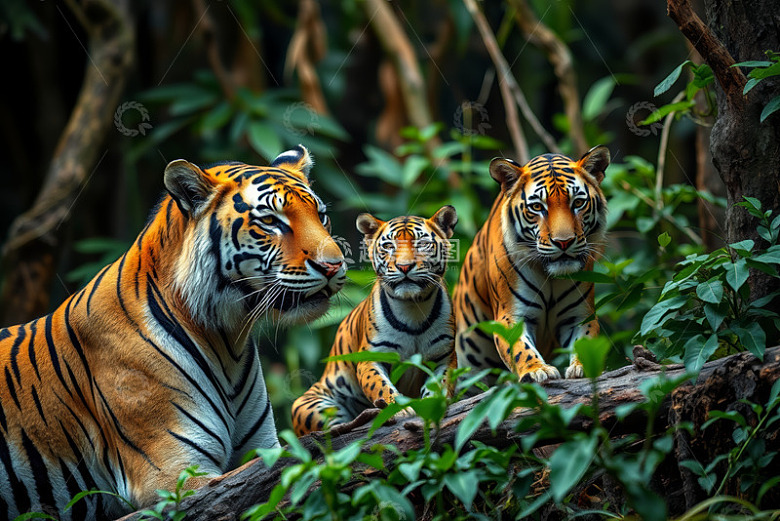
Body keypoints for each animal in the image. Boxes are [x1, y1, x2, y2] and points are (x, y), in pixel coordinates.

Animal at [0, 145, 346, 520]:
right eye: (270, 221)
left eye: (321, 216)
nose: (335, 265)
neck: (228, 340)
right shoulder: (171, 475)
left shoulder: (262, 447)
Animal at [291, 207, 458, 436]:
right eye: (388, 246)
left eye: (422, 244)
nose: (404, 267)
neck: (413, 308)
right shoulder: (371, 357)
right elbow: (379, 385)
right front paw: (399, 409)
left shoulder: (444, 358)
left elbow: (439, 386)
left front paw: (432, 406)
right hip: (309, 405)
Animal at [453, 146, 610, 384]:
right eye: (537, 207)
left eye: (578, 203)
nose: (564, 242)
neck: (551, 276)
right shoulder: (512, 315)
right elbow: (520, 348)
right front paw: (537, 370)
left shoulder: (580, 315)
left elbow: (586, 341)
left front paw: (584, 367)